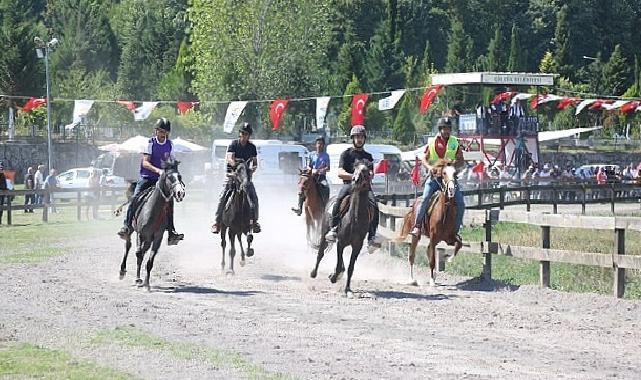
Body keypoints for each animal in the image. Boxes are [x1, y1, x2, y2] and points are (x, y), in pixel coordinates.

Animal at [118, 159, 185, 290]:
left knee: (144, 250)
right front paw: (138, 279)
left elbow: (150, 260)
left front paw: (147, 284)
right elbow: (138, 254)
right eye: (169, 177)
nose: (180, 193)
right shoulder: (140, 234)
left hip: (149, 239)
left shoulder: (158, 237)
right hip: (132, 231)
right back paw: (122, 271)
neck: (153, 210)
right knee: (128, 246)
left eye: (179, 176)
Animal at [308, 162, 372, 296]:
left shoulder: (356, 247)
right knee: (320, 253)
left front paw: (347, 289)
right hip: (324, 234)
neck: (354, 219)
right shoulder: (341, 243)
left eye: (366, 171)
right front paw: (334, 277)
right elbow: (338, 264)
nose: (355, 180)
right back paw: (313, 273)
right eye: (355, 169)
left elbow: (350, 268)